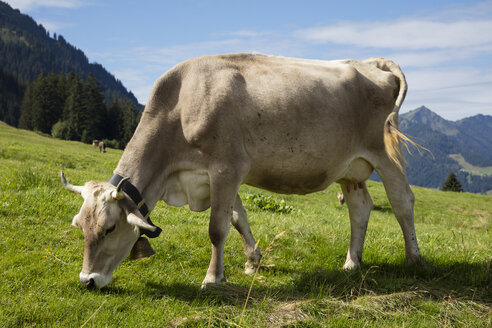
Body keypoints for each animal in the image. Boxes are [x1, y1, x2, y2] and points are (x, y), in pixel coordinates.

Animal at [60, 53, 422, 290]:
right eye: (79, 225)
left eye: (109, 228)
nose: (88, 281)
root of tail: (371, 61)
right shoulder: (219, 176)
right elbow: (237, 219)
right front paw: (252, 261)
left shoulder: (227, 167)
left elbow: (217, 229)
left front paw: (212, 278)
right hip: (351, 168)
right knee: (360, 209)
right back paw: (351, 262)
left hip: (386, 153)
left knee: (402, 201)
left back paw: (414, 259)